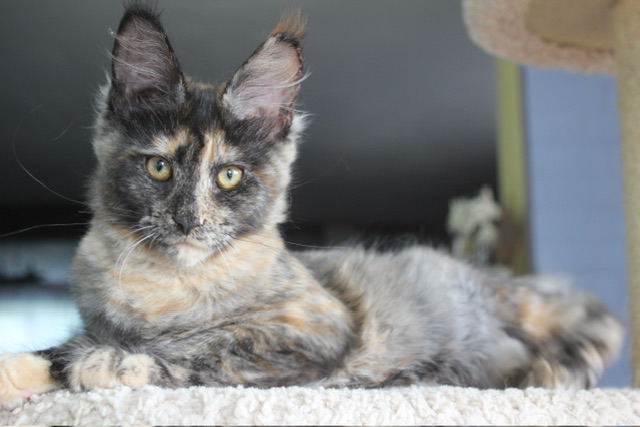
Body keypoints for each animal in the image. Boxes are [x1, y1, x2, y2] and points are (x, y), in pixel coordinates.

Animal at [0, 4, 623, 402]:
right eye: (159, 167)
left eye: (229, 176)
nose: (187, 221)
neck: (164, 289)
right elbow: (59, 347)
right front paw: (30, 372)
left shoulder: (310, 328)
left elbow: (200, 347)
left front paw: (106, 362)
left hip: (521, 306)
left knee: (599, 326)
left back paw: (547, 373)